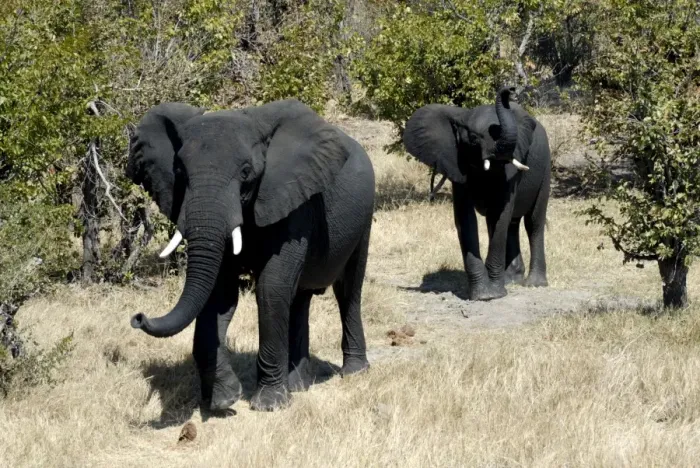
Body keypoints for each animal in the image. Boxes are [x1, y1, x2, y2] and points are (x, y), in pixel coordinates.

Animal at [126, 99, 375, 411]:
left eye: (246, 172)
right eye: (180, 171)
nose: (137, 317)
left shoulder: (293, 201)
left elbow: (271, 287)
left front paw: (269, 405)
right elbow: (219, 293)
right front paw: (224, 399)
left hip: (364, 217)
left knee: (348, 289)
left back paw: (353, 373)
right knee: (300, 298)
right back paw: (299, 385)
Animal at [403, 87, 551, 301]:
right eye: (473, 139)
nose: (509, 90)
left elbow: (500, 213)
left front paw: (494, 294)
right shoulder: (457, 162)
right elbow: (466, 217)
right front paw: (483, 295)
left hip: (546, 167)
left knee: (533, 222)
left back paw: (534, 284)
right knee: (510, 223)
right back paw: (511, 279)